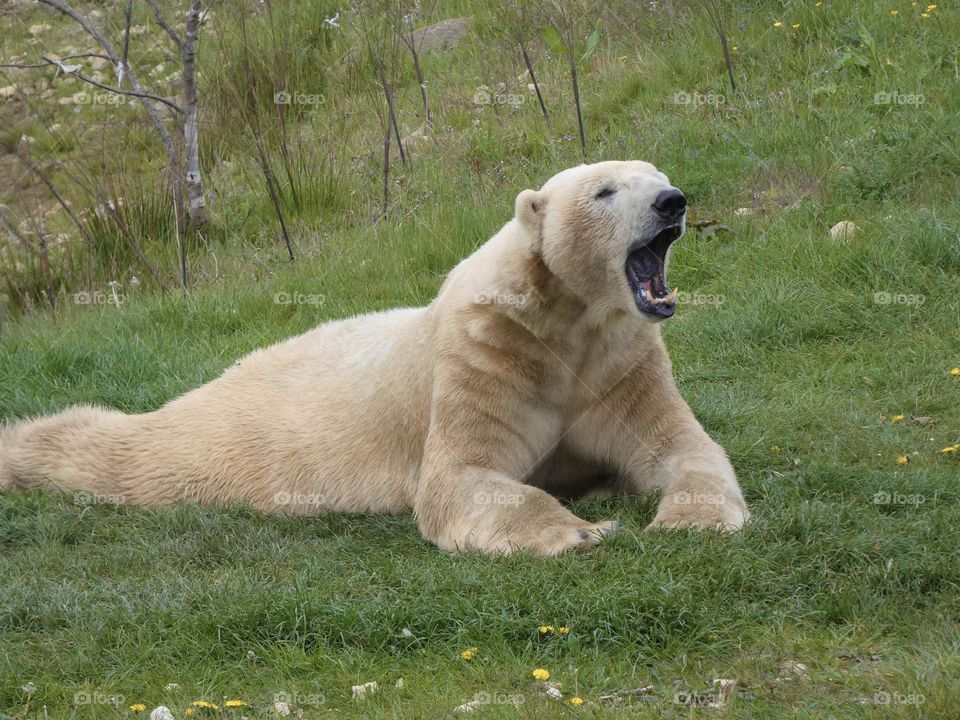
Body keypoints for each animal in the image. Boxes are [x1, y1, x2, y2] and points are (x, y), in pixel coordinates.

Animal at [0, 160, 749, 555]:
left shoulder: (619, 362)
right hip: (217, 446)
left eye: (656, 175)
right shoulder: (486, 358)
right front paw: (583, 531)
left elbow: (681, 447)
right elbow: (460, 479)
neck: (566, 322)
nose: (671, 202)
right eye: (604, 191)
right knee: (120, 451)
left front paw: (689, 519)